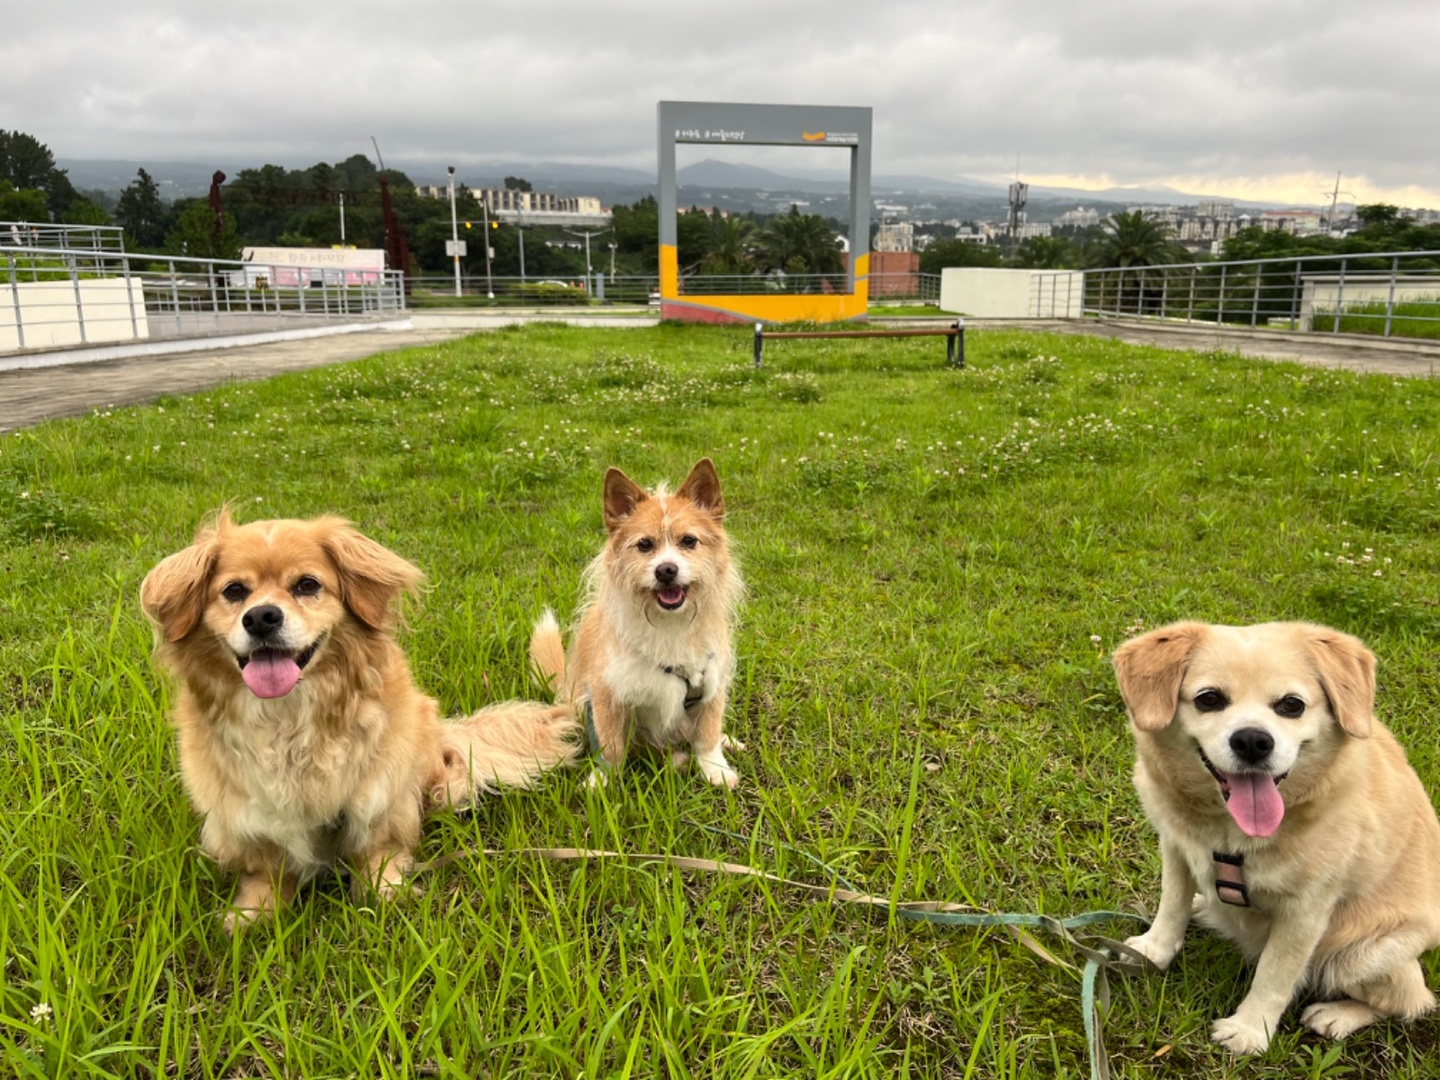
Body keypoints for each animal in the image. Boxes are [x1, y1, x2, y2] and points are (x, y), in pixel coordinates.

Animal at [141, 512, 578, 933]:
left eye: (307, 585)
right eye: (233, 591)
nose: (262, 617)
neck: (289, 718)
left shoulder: (379, 790)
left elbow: (375, 848)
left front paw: (385, 893)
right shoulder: (242, 810)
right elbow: (266, 866)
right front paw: (255, 911)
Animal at [535, 460, 748, 789]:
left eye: (689, 541)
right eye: (645, 545)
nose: (666, 570)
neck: (669, 623)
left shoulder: (712, 684)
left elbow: (708, 734)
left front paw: (716, 769)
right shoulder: (607, 693)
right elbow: (610, 745)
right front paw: (601, 781)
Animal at [1111, 624, 1440, 1059]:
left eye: (1291, 705)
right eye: (1209, 699)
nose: (1253, 741)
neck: (1228, 832)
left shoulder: (1305, 910)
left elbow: (1275, 973)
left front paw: (1250, 1029)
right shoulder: (1177, 848)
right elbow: (1171, 906)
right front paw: (1154, 950)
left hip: (1364, 954)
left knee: (1409, 1000)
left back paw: (1338, 1015)